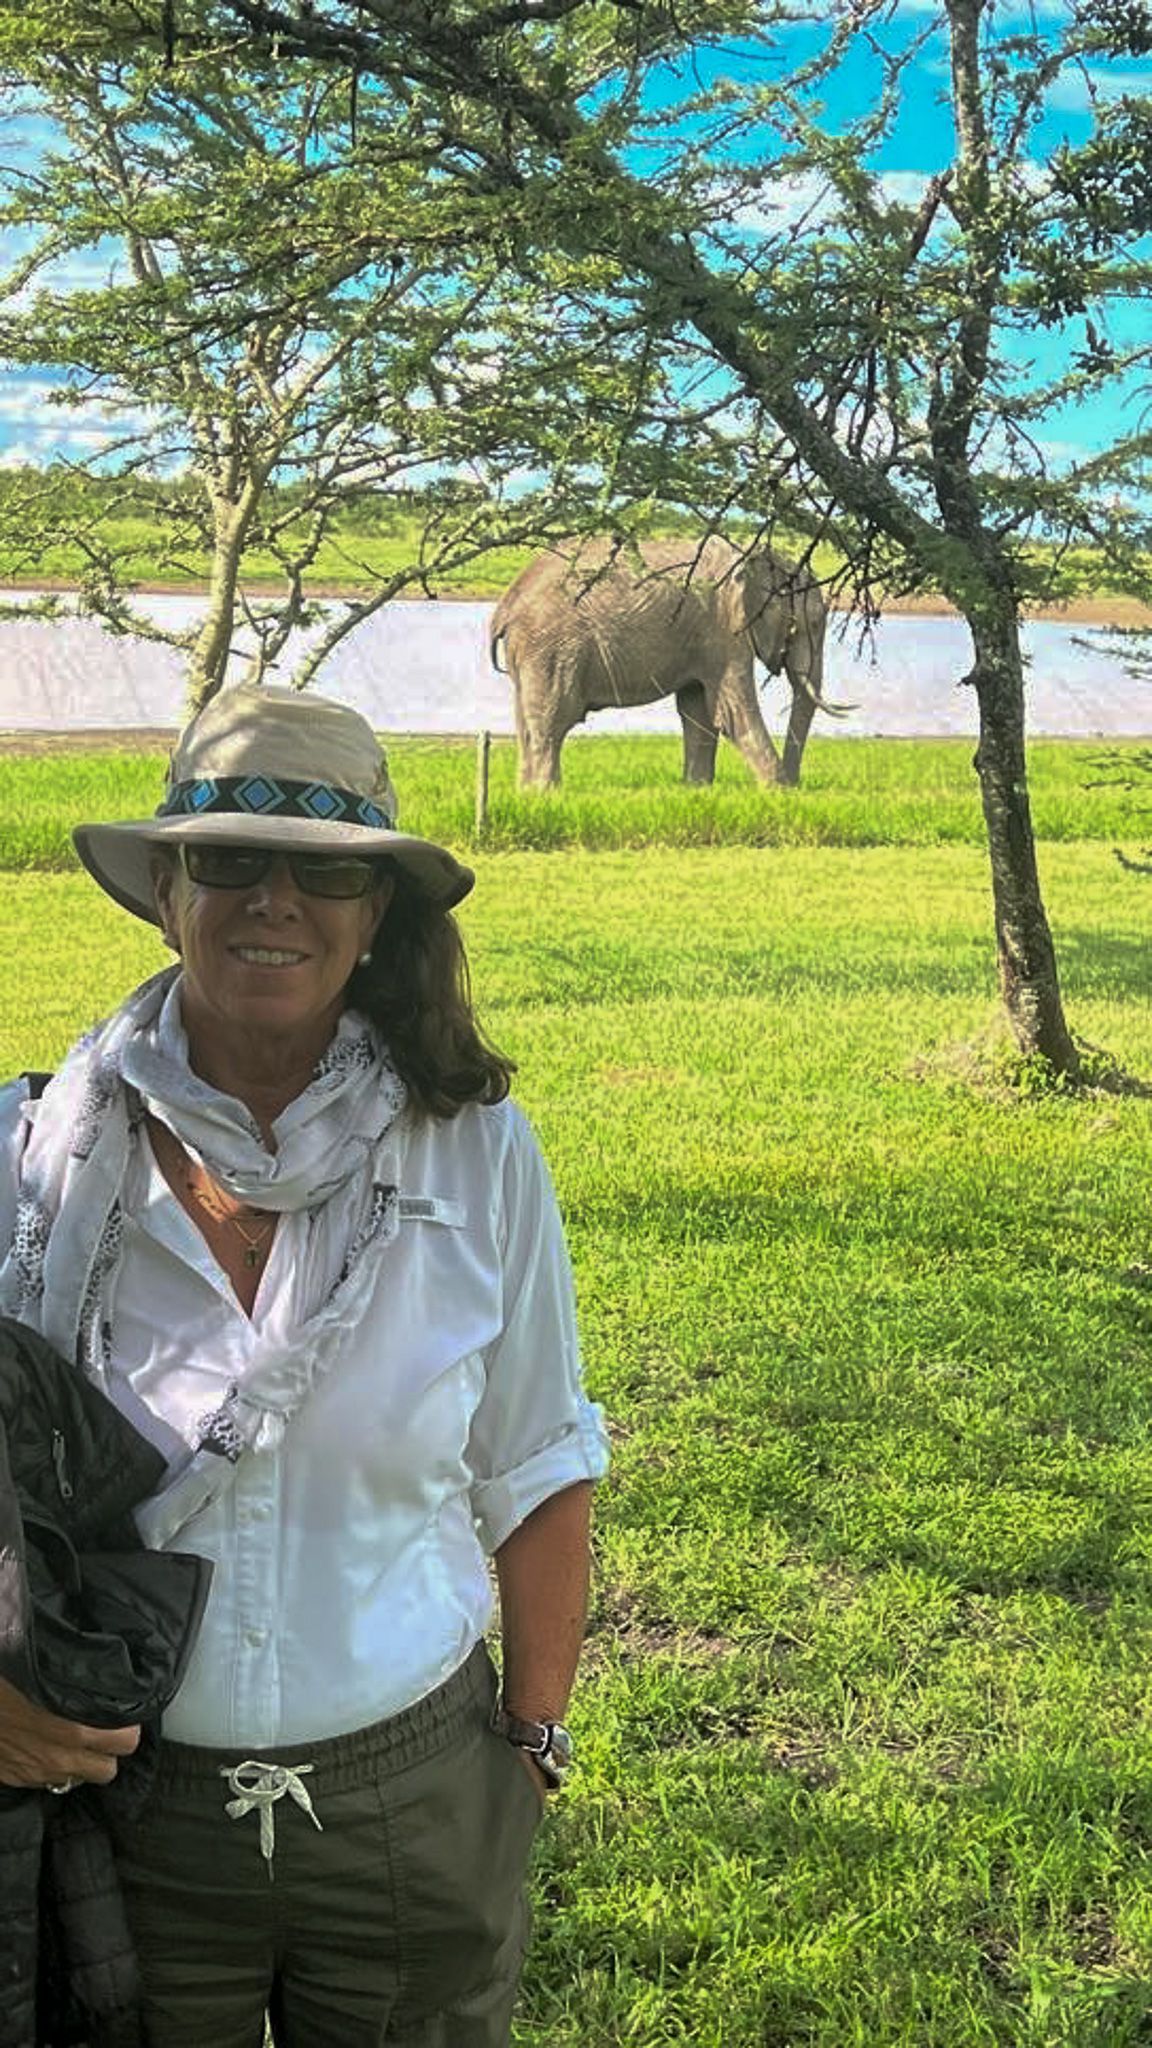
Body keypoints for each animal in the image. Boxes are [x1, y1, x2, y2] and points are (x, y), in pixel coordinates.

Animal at [490, 535, 838, 789]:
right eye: (812, 624)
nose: (797, 783)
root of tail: (504, 608)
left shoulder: (703, 637)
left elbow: (698, 710)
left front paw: (697, 789)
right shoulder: (725, 629)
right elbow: (733, 710)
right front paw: (778, 791)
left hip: (533, 653)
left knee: (527, 722)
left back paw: (526, 795)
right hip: (552, 648)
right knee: (552, 719)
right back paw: (546, 794)